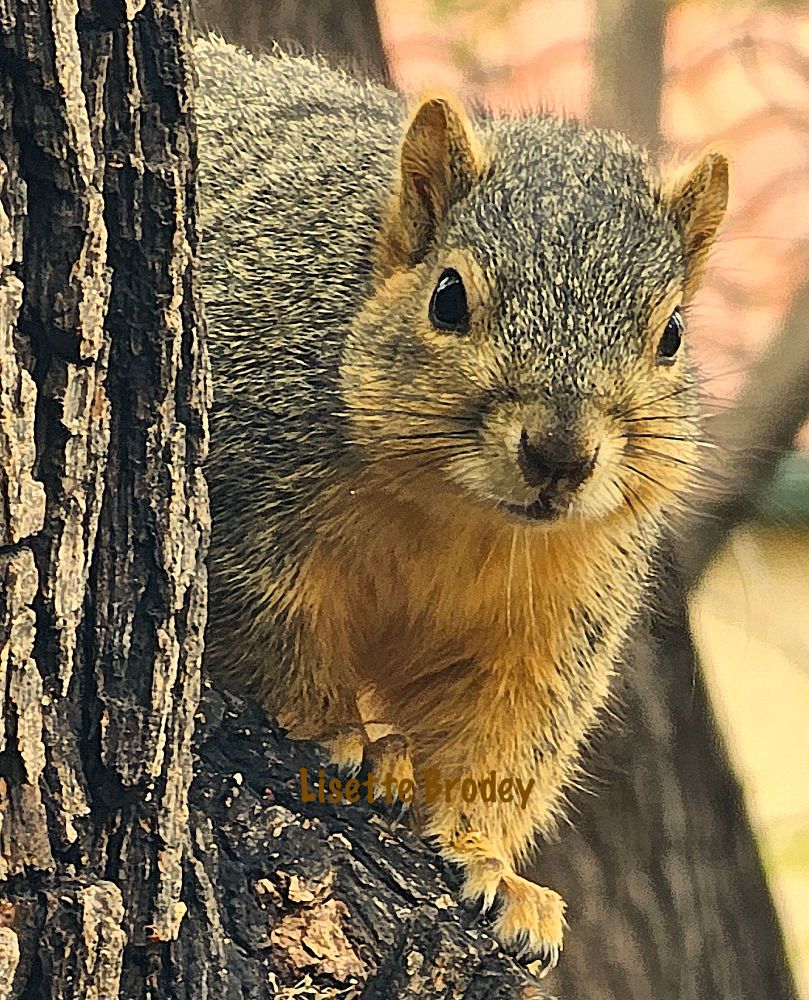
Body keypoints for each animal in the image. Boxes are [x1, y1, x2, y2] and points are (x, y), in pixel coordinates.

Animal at [194, 35, 728, 975]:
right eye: (447, 297)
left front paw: (491, 868)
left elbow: (506, 736)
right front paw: (336, 732)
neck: (460, 516)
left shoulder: (556, 616)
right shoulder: (247, 507)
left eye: (670, 335)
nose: (559, 456)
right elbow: (270, 642)